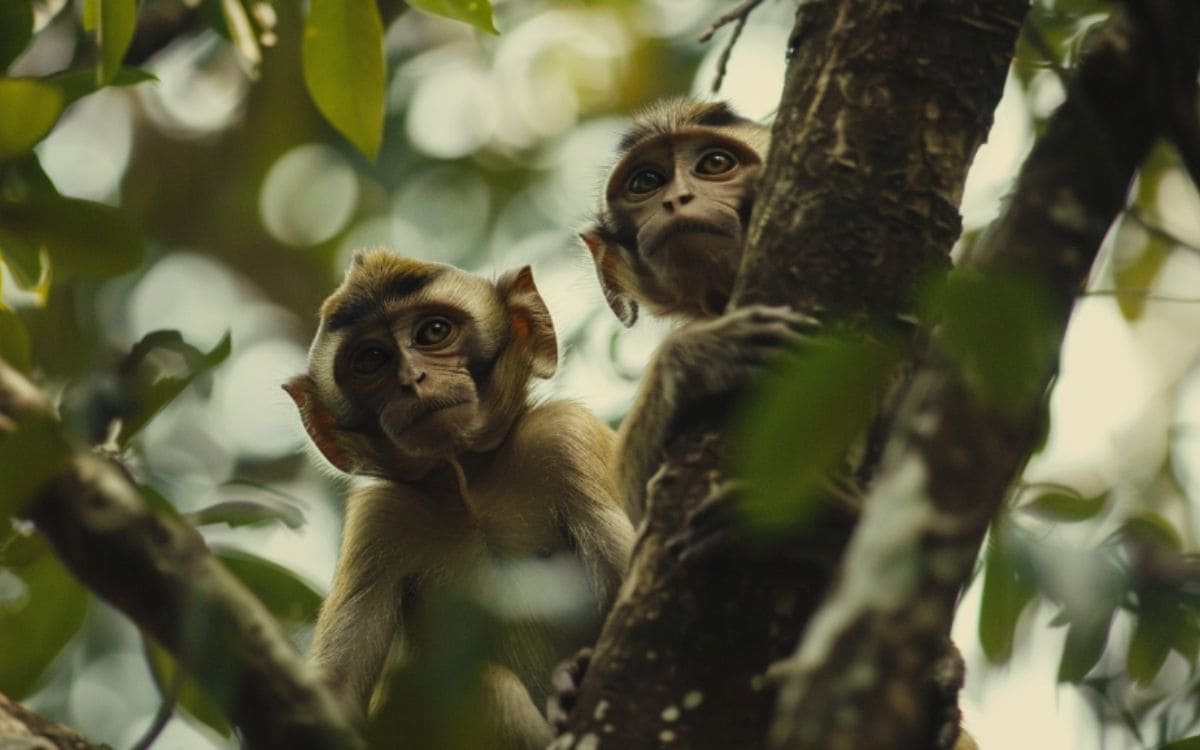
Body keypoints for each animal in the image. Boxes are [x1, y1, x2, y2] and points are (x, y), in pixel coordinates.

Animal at [283, 248, 638, 744]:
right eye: (371, 359)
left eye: (434, 332)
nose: (412, 379)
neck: (471, 487)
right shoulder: (381, 517)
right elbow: (336, 695)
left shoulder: (563, 439)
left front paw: (575, 675)